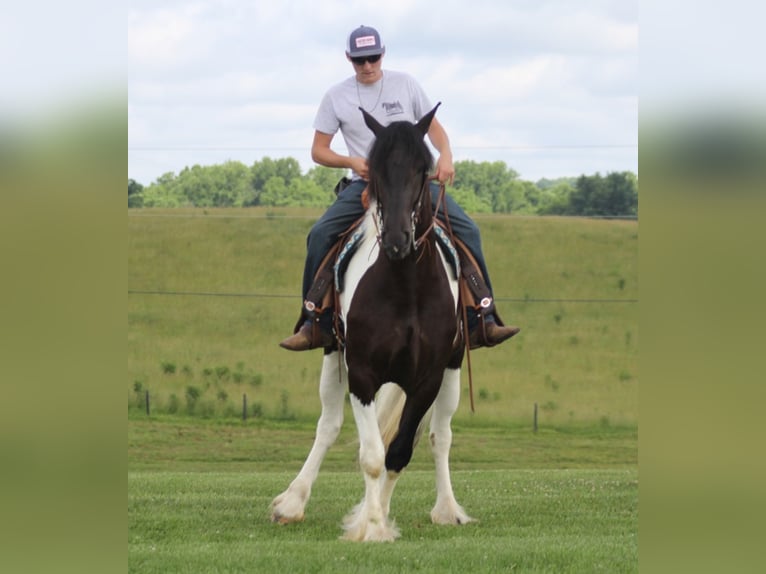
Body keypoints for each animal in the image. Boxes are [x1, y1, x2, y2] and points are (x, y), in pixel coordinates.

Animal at [270, 104, 474, 544]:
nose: (398, 240)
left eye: (423, 169)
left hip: (451, 369)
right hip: (333, 355)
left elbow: (398, 451)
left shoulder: (428, 378)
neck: (405, 287)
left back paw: (447, 509)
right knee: (328, 427)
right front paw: (373, 525)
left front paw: (373, 517)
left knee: (441, 436)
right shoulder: (362, 373)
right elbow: (372, 456)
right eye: (376, 170)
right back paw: (292, 503)